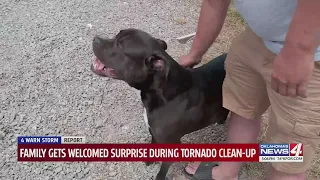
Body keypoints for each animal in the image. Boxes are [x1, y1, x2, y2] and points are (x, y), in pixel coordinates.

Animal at [91, 28, 229, 179]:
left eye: (119, 45)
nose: (95, 38)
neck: (163, 94)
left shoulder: (171, 144)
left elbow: (162, 170)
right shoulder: (154, 132)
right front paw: (149, 161)